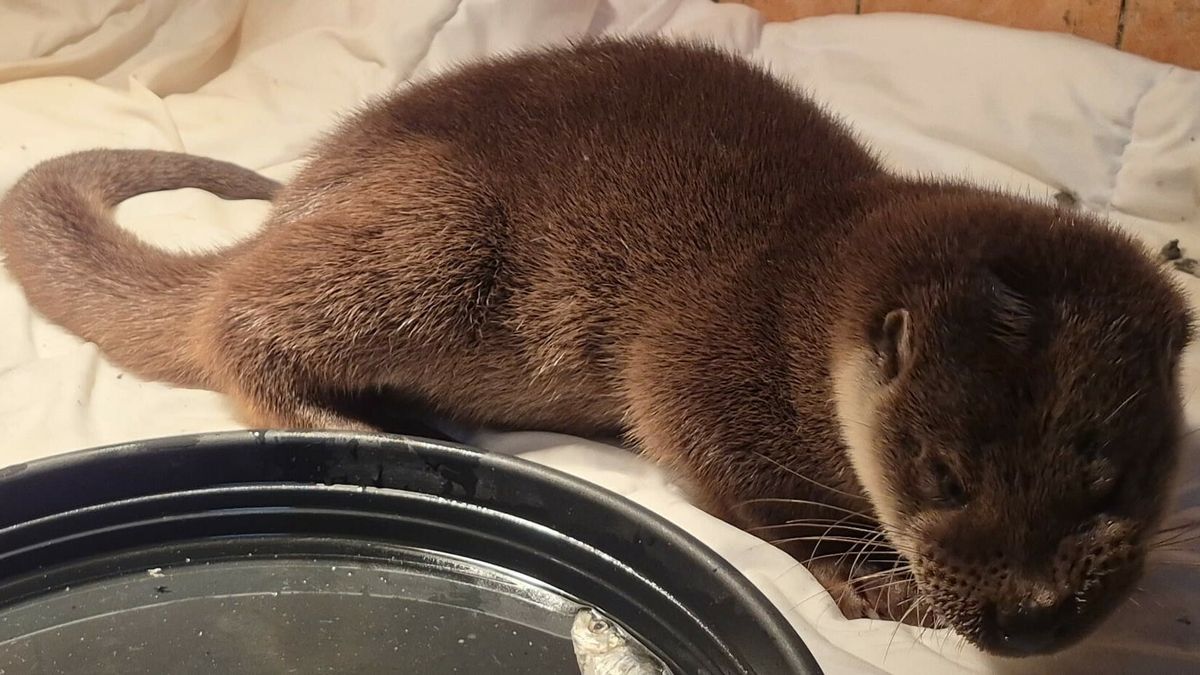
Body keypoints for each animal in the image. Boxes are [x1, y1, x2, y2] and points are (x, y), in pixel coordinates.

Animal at [0, 38, 1191, 657]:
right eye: (944, 474)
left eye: (1113, 481)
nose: (1031, 613)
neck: (804, 297)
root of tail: (302, 192)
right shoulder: (701, 362)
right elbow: (723, 468)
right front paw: (867, 581)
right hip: (439, 231)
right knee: (229, 322)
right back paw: (368, 424)